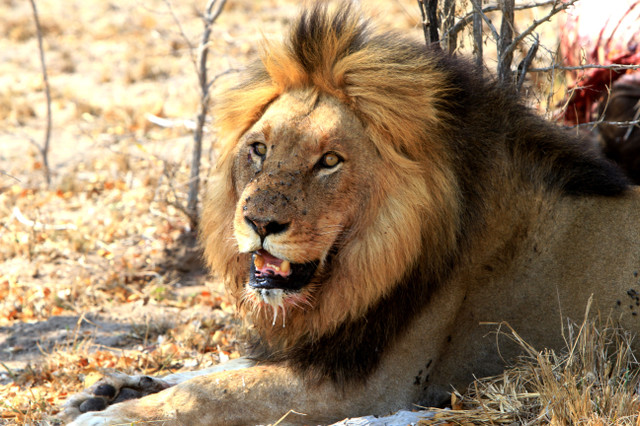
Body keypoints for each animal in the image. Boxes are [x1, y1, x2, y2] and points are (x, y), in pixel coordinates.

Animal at [64, 3, 640, 425]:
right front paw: (112, 389)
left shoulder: (371, 387)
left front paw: (110, 416)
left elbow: (220, 390)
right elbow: (218, 369)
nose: (259, 224)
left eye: (330, 161)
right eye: (259, 150)